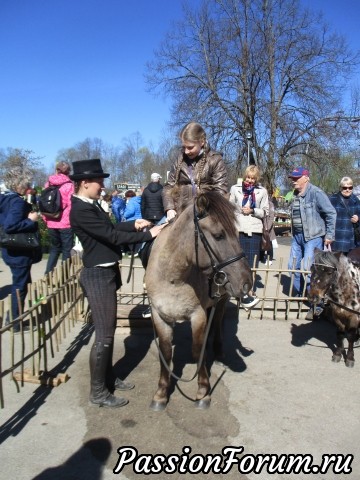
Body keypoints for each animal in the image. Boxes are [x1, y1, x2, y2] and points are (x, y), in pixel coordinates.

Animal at [145, 190, 252, 408]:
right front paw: (161, 393)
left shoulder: (198, 315)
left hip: (222, 299)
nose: (247, 283)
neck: (173, 278)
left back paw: (218, 351)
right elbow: (166, 352)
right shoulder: (159, 316)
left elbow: (197, 349)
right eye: (219, 235)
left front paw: (203, 391)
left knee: (217, 321)